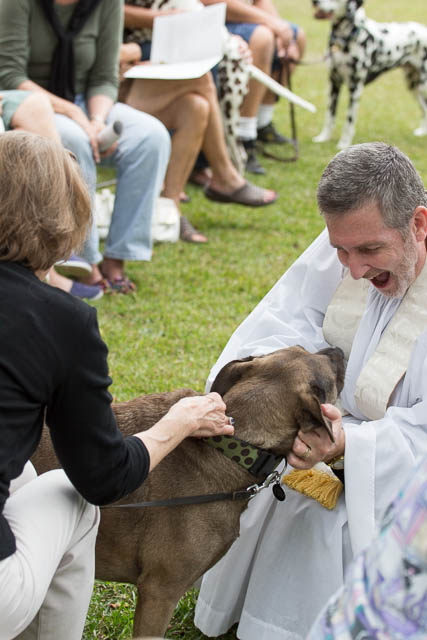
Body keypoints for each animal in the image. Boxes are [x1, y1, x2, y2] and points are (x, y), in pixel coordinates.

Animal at [310, 0, 427, 149]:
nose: (314, 2)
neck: (347, 37)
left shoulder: (355, 88)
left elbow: (349, 121)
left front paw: (344, 143)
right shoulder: (334, 83)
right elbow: (329, 116)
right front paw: (323, 137)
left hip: (423, 86)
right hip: (414, 86)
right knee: (424, 108)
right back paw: (422, 131)